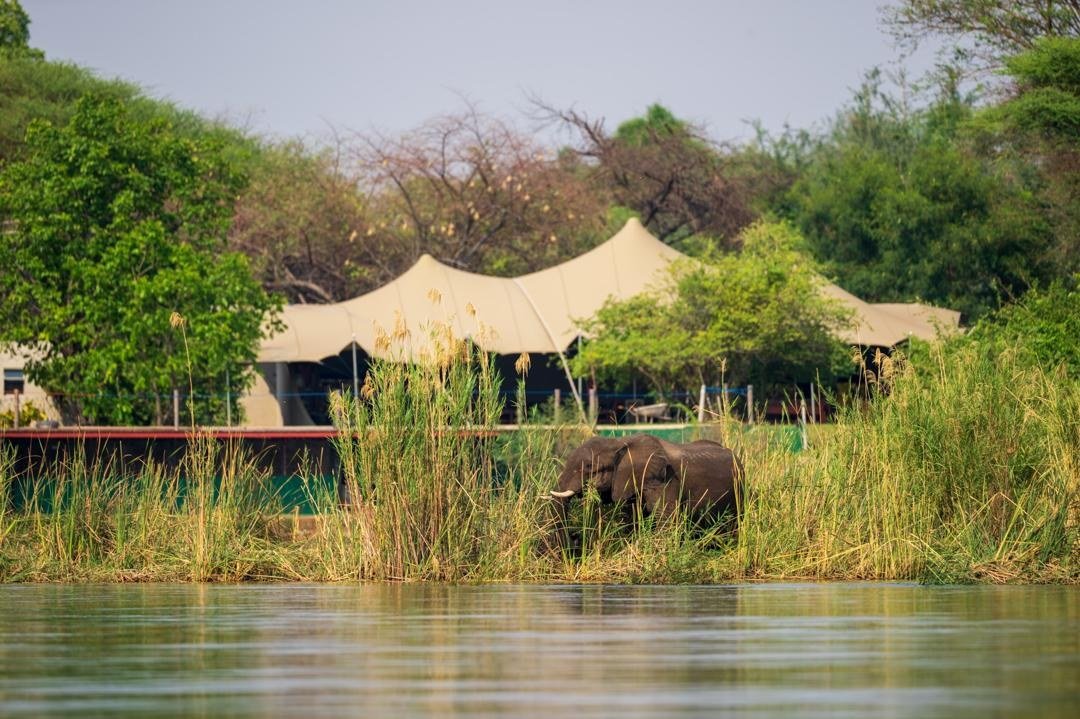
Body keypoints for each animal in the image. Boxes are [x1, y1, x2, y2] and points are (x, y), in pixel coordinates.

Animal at [547, 434, 743, 542]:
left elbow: (667, 518)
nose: (575, 537)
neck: (620, 443)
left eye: (589, 466)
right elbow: (631, 519)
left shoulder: (664, 478)